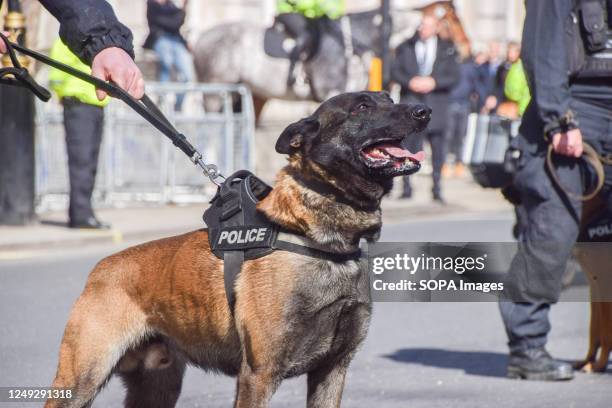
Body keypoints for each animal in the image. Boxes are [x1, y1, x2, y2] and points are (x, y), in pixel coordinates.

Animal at [46, 92, 430, 408]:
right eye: (362, 107)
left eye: (389, 97)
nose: (423, 111)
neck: (319, 239)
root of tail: (98, 271)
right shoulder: (259, 374)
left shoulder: (332, 370)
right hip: (79, 382)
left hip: (156, 388)